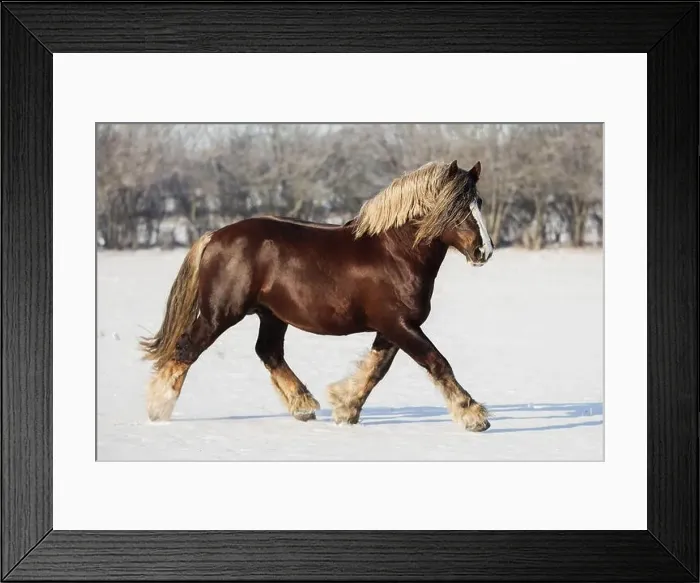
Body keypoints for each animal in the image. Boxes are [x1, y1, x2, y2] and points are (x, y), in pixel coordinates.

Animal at [139, 159, 495, 431]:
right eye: (456, 207)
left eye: (478, 203)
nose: (484, 251)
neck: (396, 253)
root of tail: (214, 236)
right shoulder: (399, 325)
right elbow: (436, 362)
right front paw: (473, 416)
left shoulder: (393, 327)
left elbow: (375, 370)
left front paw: (346, 409)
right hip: (220, 314)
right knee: (187, 349)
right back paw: (159, 408)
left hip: (271, 315)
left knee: (268, 352)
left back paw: (304, 405)